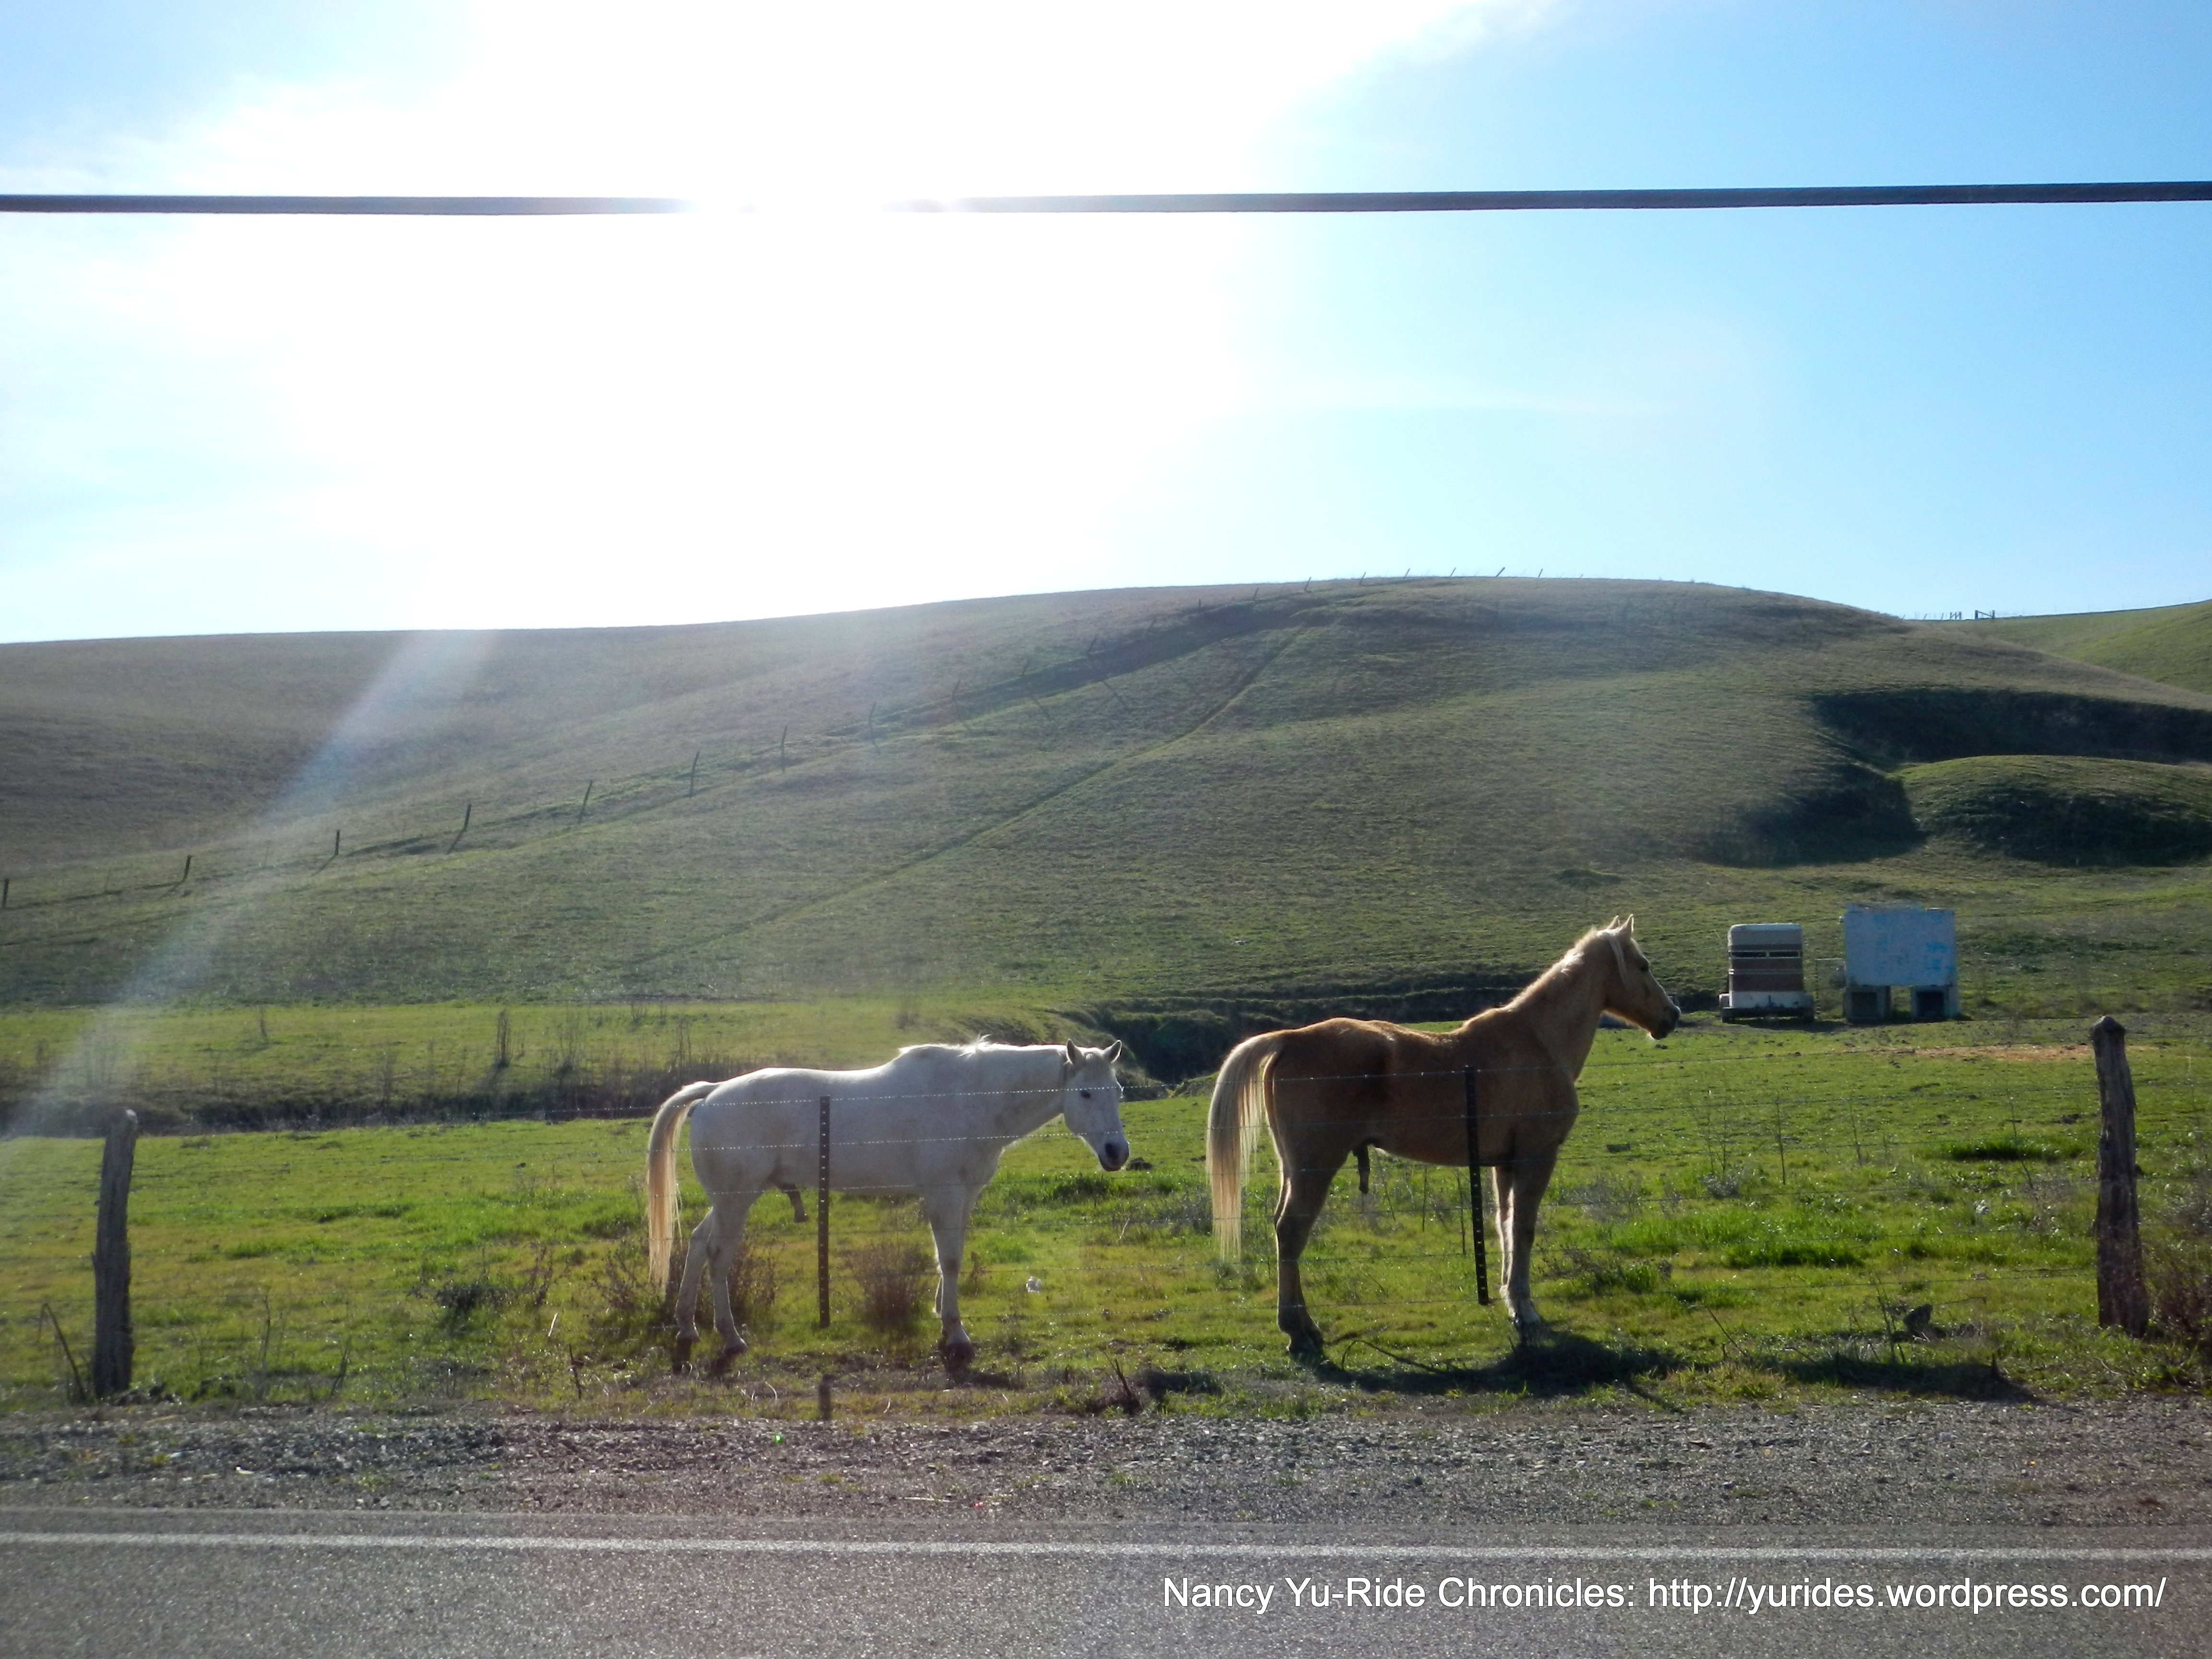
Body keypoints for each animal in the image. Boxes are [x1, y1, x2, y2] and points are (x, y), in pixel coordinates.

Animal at [646, 1038, 1128, 1373]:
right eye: (1086, 1093)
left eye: (1118, 1090)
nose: (1117, 1153)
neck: (969, 1098)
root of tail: (714, 1092)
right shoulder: (945, 1192)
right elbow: (951, 1259)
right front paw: (956, 1333)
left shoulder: (964, 1193)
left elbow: (948, 1256)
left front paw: (942, 1315)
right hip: (736, 1201)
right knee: (718, 1257)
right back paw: (730, 1336)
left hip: (730, 1201)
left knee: (697, 1244)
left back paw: (687, 1325)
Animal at [1207, 917, 1678, 1356]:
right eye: (1643, 965)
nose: (1672, 1017)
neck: (1539, 1044)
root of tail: (1290, 1039)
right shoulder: (1536, 1158)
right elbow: (1523, 1228)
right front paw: (1527, 1311)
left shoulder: (1503, 1164)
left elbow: (1505, 1226)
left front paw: (1510, 1301)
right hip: (1315, 1169)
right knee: (1291, 1232)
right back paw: (1297, 1332)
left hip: (1295, 1169)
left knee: (1283, 1230)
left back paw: (1304, 1326)